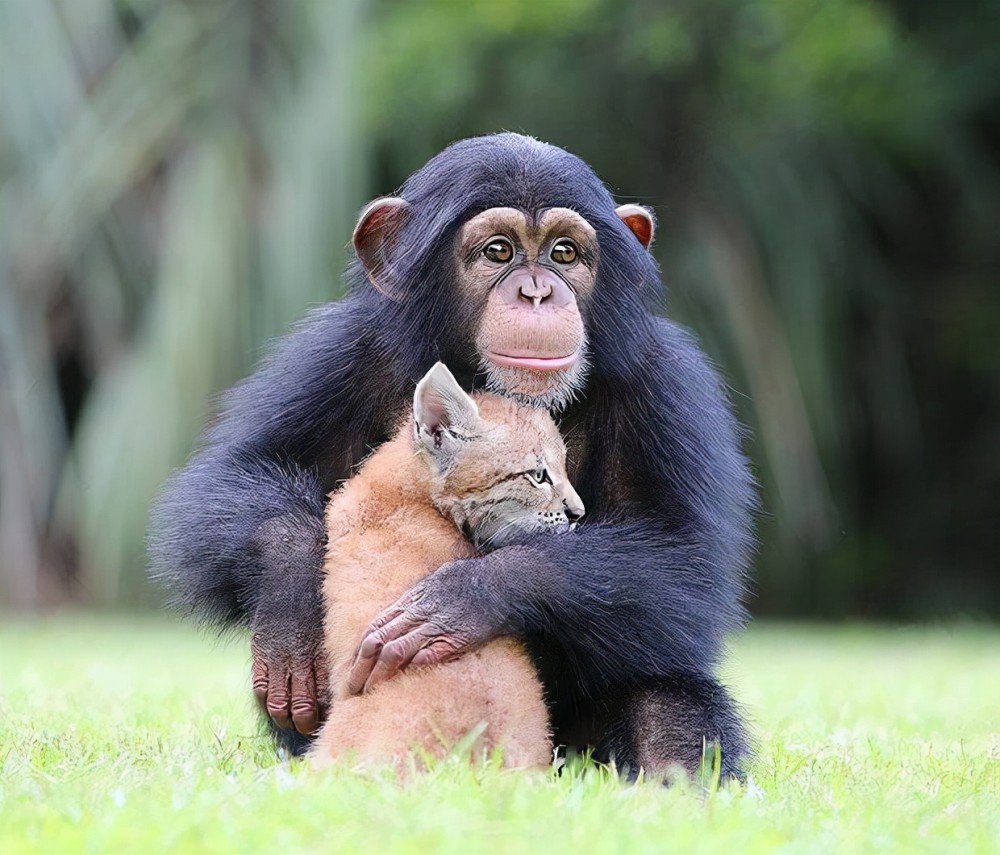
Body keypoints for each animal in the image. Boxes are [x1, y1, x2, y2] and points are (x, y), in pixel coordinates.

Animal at [146, 130, 756, 780]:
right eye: (499, 251)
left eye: (565, 253)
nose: (538, 291)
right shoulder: (333, 351)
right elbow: (229, 477)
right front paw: (290, 597)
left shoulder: (667, 382)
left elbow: (687, 562)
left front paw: (469, 595)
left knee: (668, 697)